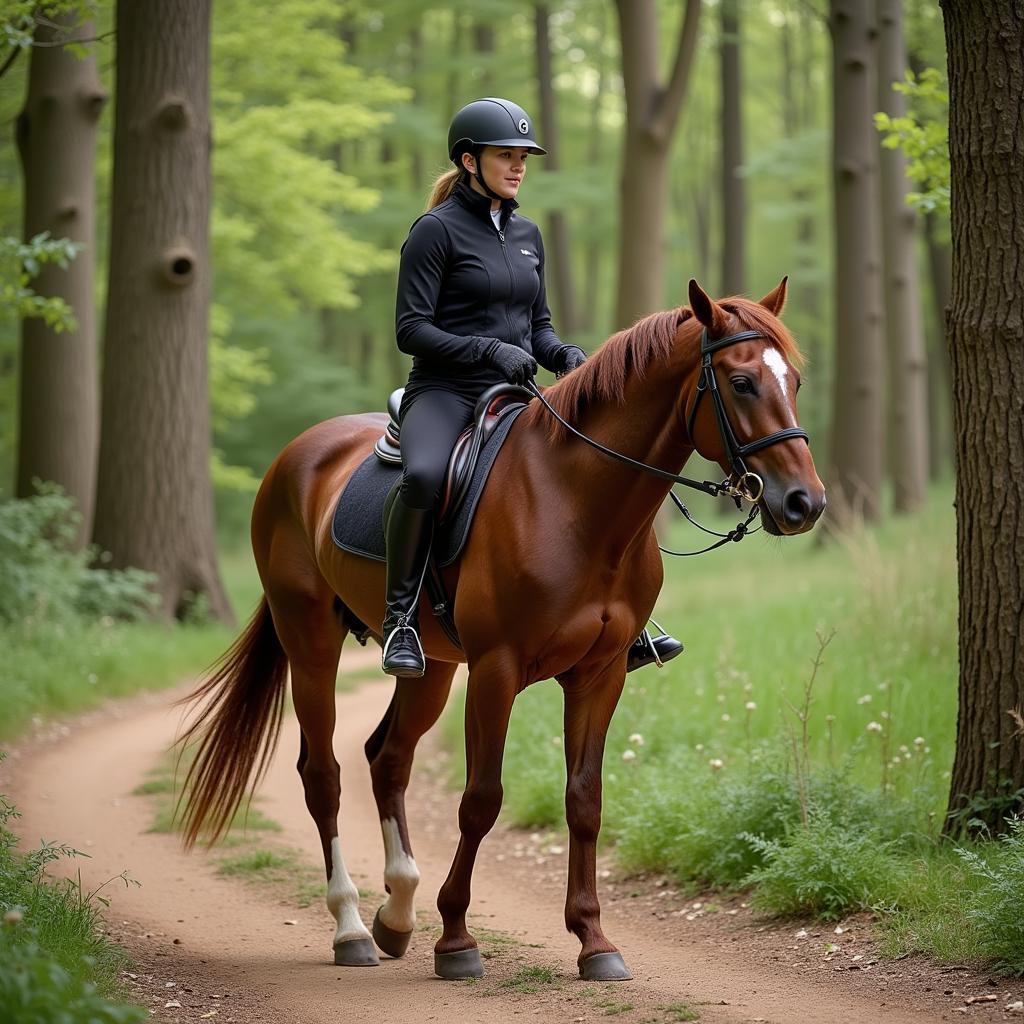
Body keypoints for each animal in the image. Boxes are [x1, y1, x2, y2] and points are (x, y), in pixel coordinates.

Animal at [180, 280, 827, 983]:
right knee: (323, 773)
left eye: (794, 379)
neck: (575, 503)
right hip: (312, 646)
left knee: (387, 758)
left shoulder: (599, 676)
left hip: (430, 670)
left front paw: (594, 940)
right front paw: (457, 940)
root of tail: (294, 456)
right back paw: (351, 927)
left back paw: (396, 915)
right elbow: (481, 799)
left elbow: (584, 801)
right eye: (740, 383)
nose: (804, 503)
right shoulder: (496, 669)